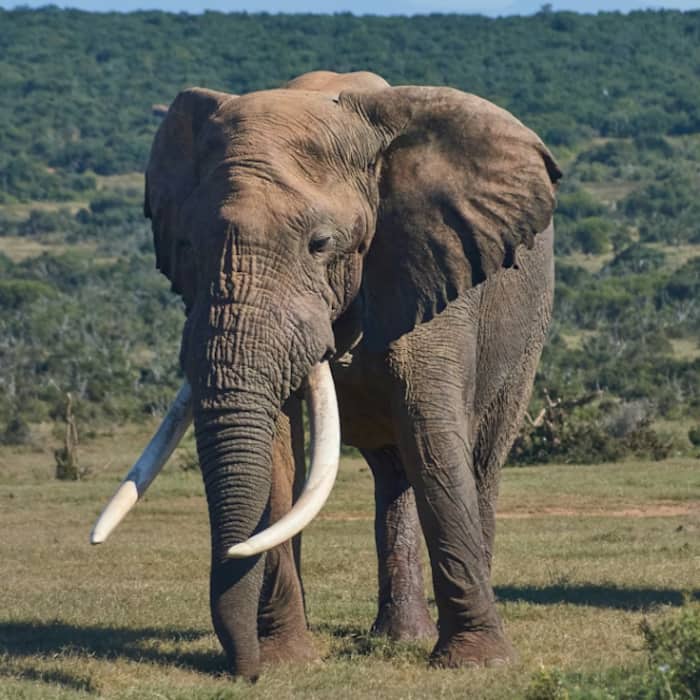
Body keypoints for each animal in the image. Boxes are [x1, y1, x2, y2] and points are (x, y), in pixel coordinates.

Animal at [91, 70, 560, 680]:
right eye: (188, 246)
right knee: (393, 474)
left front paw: (478, 664)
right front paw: (286, 660)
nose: (244, 671)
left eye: (321, 244)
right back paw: (399, 637)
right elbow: (278, 453)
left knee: (477, 458)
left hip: (526, 333)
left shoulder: (433, 273)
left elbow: (434, 441)